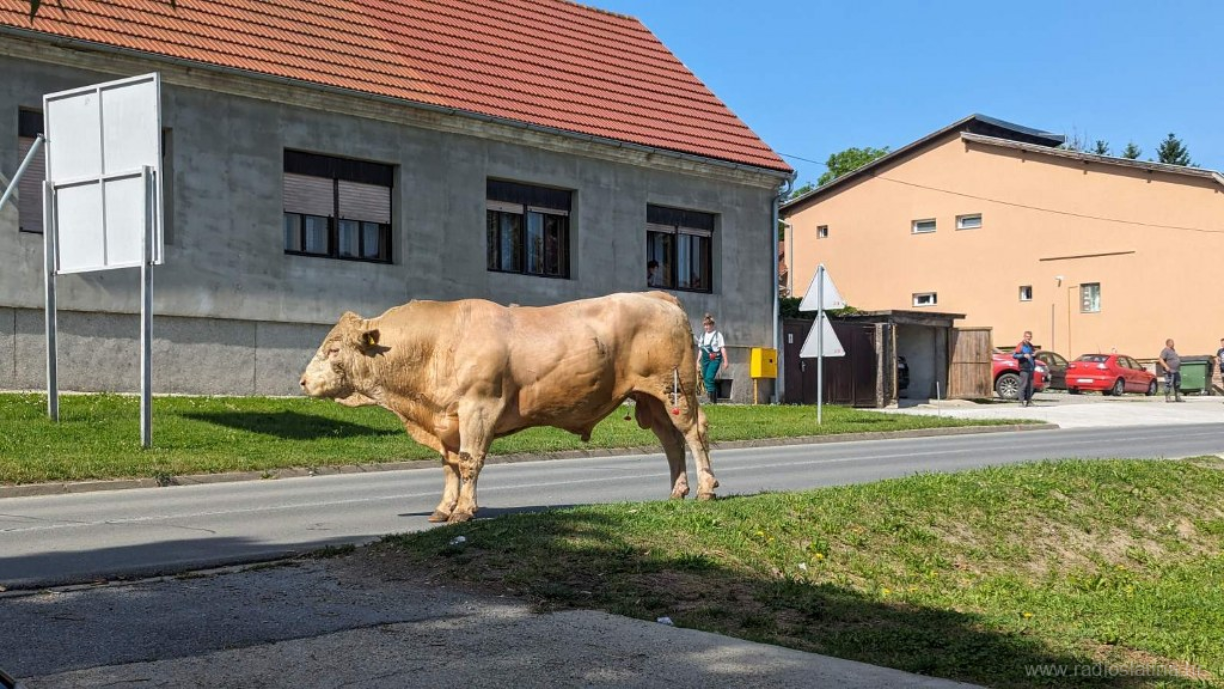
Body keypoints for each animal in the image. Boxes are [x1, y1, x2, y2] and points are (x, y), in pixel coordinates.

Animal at [298, 290, 714, 523]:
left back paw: (706, 489)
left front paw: (464, 511)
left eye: (333, 349)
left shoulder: (478, 407)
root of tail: (657, 297)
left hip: (677, 390)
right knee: (671, 441)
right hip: (651, 399)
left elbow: (469, 461)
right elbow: (449, 465)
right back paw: (677, 491)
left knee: (694, 435)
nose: (302, 381)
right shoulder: (445, 419)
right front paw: (443, 508)